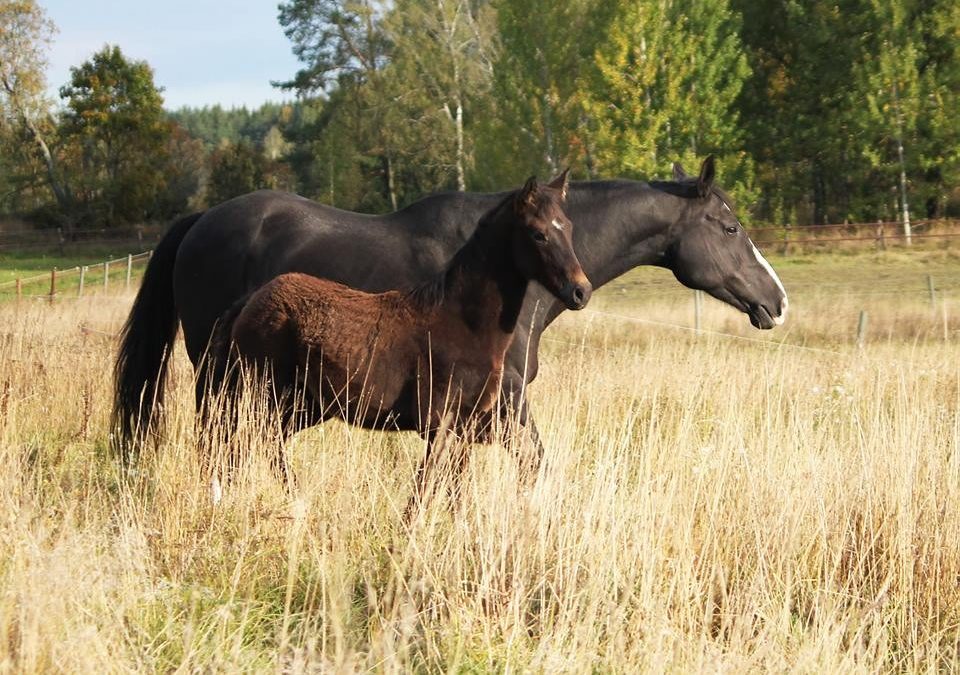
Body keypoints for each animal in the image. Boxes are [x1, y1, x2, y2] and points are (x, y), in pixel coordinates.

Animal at [112, 156, 788, 456]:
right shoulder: (503, 402)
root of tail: (202, 220)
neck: (514, 272)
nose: (777, 300)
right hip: (223, 378)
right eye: (730, 227)